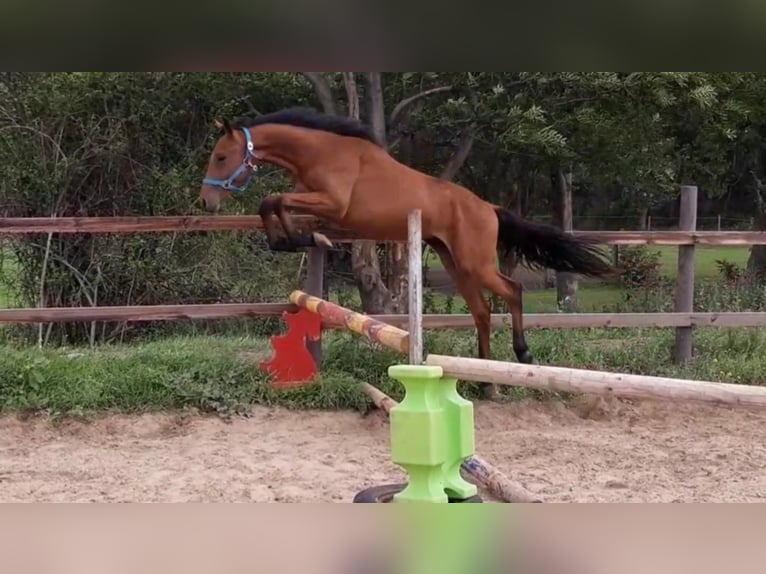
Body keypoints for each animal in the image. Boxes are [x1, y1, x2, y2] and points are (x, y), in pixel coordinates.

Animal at [199, 107, 617, 398]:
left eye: (220, 157)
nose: (206, 202)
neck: (321, 152)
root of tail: (489, 208)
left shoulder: (333, 204)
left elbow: (273, 199)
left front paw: (292, 239)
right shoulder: (318, 204)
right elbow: (274, 204)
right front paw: (297, 240)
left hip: (474, 263)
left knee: (512, 290)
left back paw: (522, 355)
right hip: (454, 263)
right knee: (482, 311)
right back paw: (486, 380)